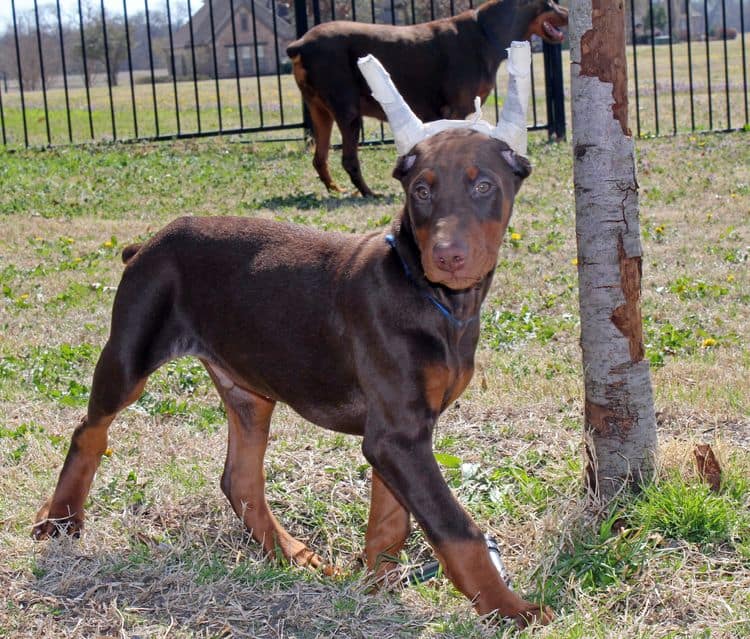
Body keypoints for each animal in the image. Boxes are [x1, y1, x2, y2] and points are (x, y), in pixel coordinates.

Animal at [33, 127, 552, 628]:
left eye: (484, 186)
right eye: (421, 191)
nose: (447, 257)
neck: (430, 295)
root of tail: (147, 243)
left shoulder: (397, 435)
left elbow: (392, 521)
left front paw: (376, 588)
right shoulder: (398, 436)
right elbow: (454, 527)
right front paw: (511, 609)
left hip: (248, 390)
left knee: (239, 479)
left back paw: (293, 554)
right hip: (130, 355)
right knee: (89, 431)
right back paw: (59, 519)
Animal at [288, 0, 568, 196]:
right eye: (550, 2)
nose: (568, 12)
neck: (486, 33)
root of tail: (299, 44)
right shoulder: (456, 110)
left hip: (320, 112)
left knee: (319, 157)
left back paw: (336, 189)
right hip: (348, 111)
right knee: (348, 159)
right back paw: (368, 193)